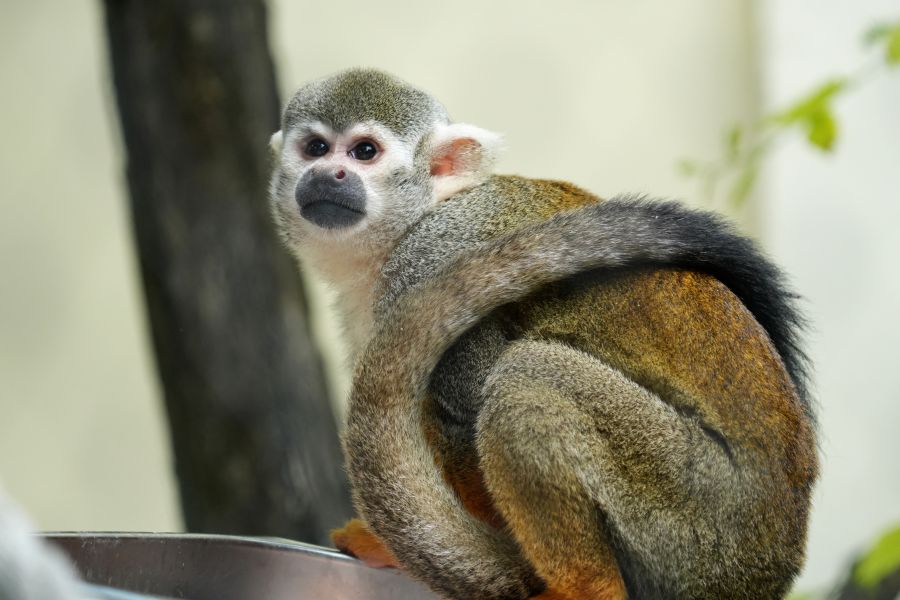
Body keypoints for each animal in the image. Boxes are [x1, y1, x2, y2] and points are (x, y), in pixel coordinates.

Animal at [268, 68, 817, 599]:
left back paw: (583, 587)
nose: (329, 173)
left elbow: (467, 412)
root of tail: (771, 568)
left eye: (365, 152)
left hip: (698, 515)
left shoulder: (426, 260)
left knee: (528, 378)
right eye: (315, 148)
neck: (415, 221)